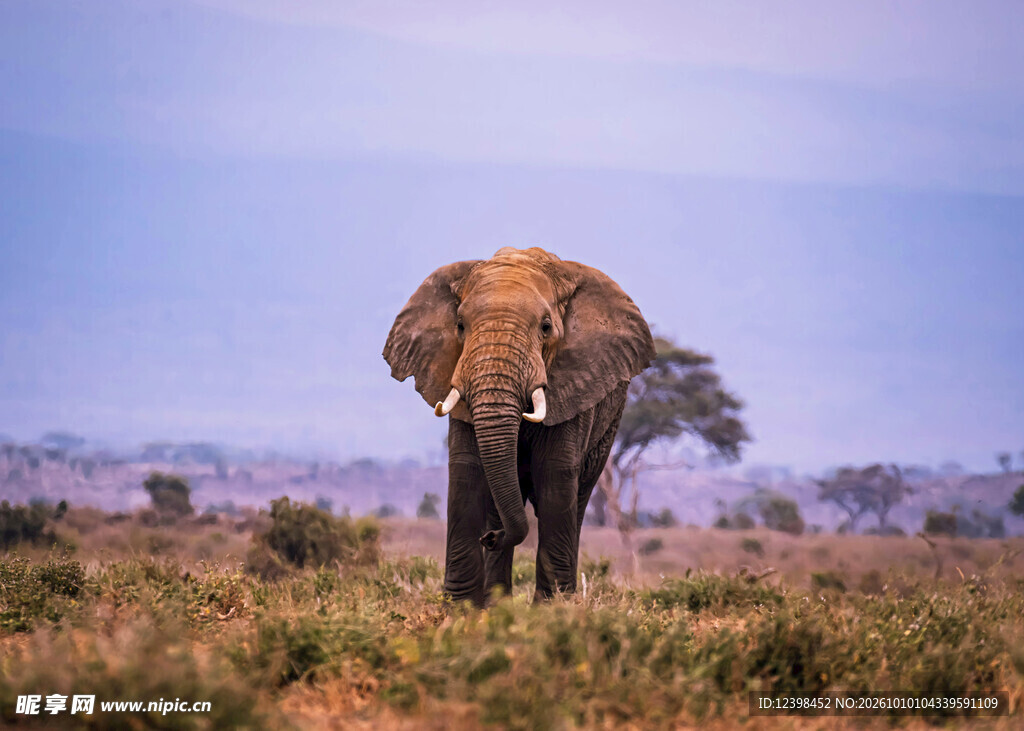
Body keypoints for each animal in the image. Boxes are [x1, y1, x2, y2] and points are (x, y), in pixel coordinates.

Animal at [383, 247, 655, 606]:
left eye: (546, 327)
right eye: (460, 326)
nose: (489, 538)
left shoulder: (575, 382)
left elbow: (555, 473)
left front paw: (552, 609)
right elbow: (466, 470)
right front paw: (460, 608)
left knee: (578, 501)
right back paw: (496, 602)